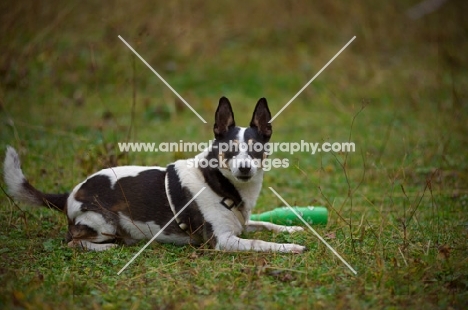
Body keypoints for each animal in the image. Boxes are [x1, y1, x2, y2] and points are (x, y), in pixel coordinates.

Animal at [3, 97, 308, 252]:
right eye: (229, 150)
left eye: (257, 149)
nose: (244, 168)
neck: (219, 184)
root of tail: (71, 193)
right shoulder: (223, 241)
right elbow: (261, 242)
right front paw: (291, 247)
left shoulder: (240, 225)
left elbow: (264, 224)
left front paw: (293, 228)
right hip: (103, 223)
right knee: (73, 242)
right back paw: (109, 247)